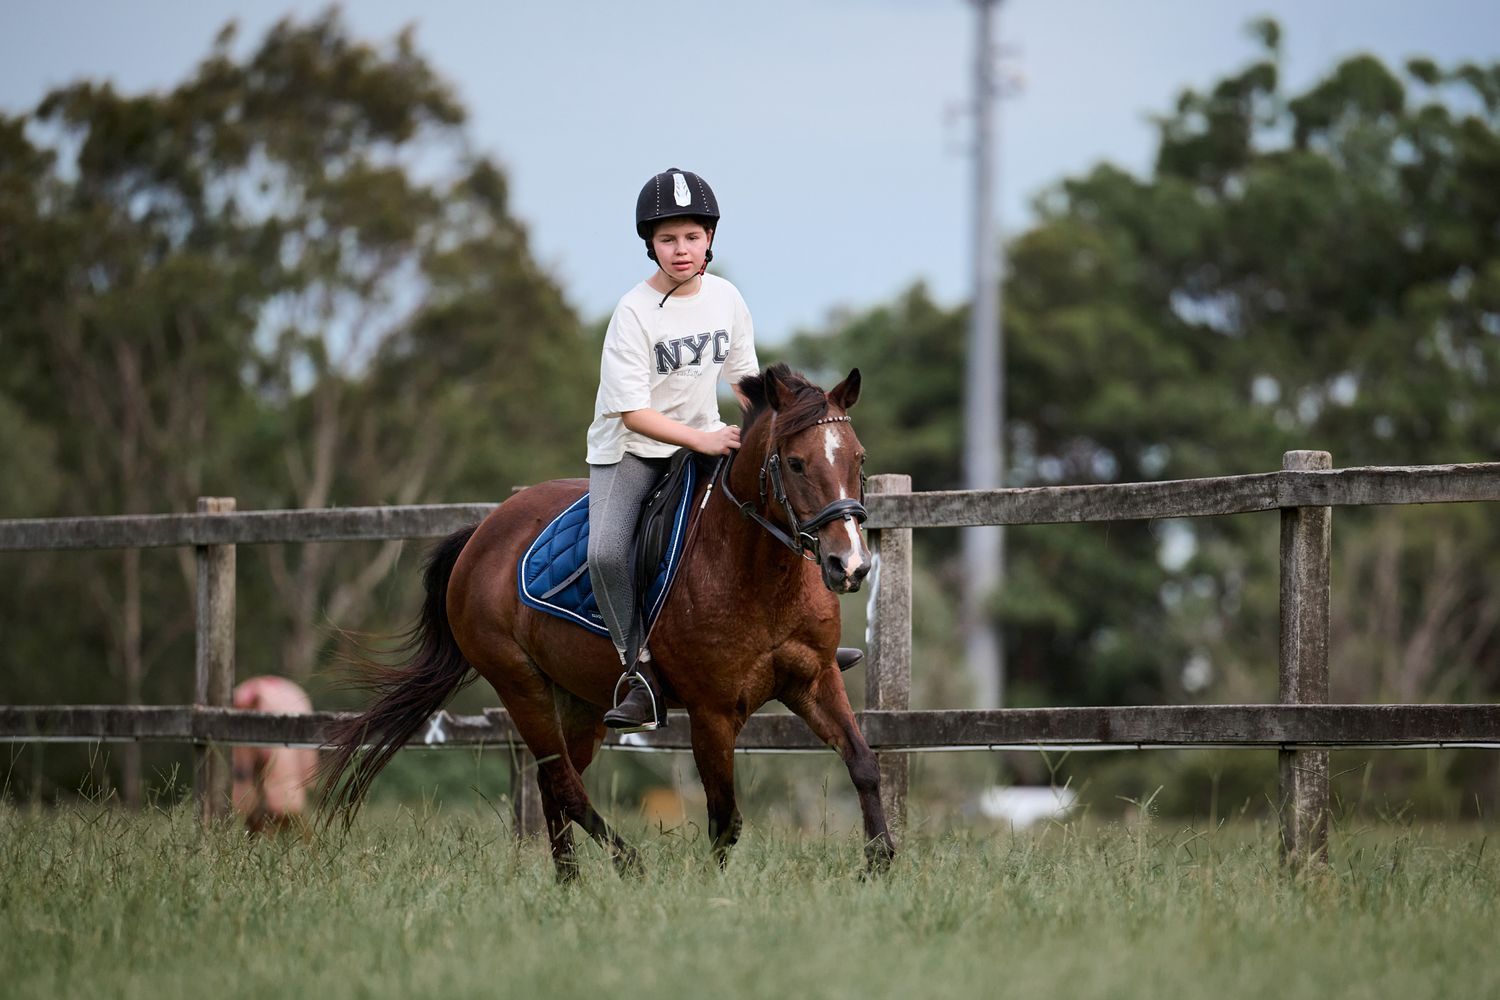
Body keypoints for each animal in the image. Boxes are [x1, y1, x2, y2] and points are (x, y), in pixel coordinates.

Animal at [320, 363, 895, 876]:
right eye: (795, 464)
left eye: (859, 459)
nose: (850, 566)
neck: (757, 571)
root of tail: (482, 533)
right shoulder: (712, 712)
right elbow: (724, 817)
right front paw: (707, 892)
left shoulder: (814, 680)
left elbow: (864, 764)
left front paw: (879, 864)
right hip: (520, 685)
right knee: (564, 785)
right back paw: (627, 865)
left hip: (583, 700)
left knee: (554, 786)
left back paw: (569, 884)